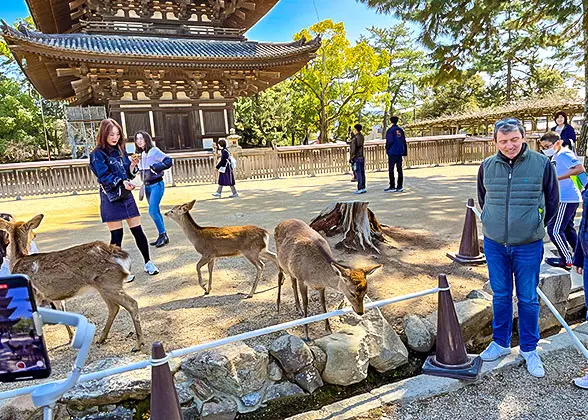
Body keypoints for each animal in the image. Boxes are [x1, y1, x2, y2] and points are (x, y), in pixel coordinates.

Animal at [0, 213, 145, 352]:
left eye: (33, 234)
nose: (35, 235)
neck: (17, 260)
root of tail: (120, 255)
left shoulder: (34, 296)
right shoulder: (53, 297)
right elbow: (61, 313)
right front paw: (71, 337)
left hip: (109, 283)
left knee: (132, 304)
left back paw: (138, 344)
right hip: (104, 286)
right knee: (114, 307)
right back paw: (101, 338)